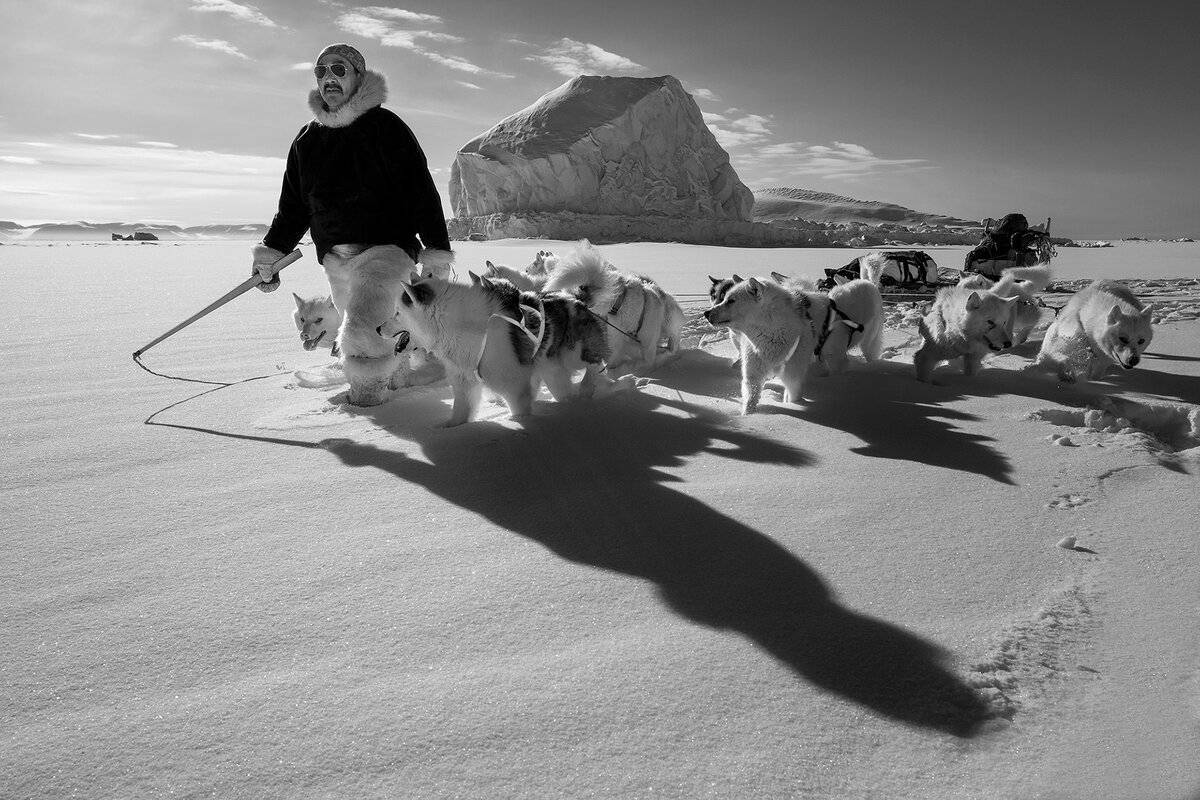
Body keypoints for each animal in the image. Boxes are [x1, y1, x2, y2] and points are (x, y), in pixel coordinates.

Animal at [544, 241, 686, 369]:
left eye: (584, 287)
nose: (577, 299)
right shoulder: (617, 335)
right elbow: (615, 354)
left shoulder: (648, 342)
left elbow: (647, 360)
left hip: (669, 321)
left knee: (674, 337)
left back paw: (671, 348)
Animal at [700, 275, 816, 412]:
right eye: (723, 299)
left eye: (731, 300)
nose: (706, 313)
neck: (771, 337)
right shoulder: (752, 377)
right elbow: (750, 400)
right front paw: (748, 415)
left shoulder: (793, 382)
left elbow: (794, 399)